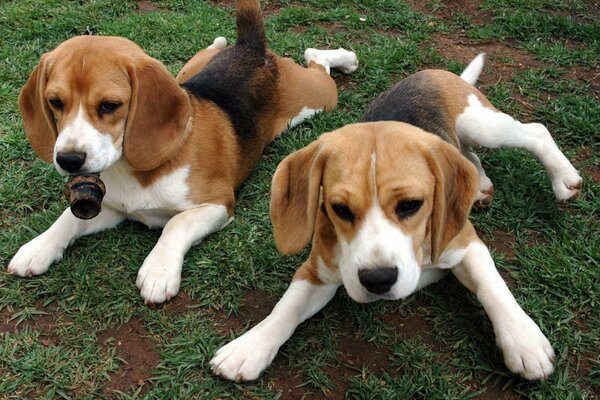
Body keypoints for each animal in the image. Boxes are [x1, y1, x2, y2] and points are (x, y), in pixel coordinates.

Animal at [8, 0, 356, 304]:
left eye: (109, 106)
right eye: (55, 102)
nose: (68, 160)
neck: (131, 170)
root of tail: (251, 48)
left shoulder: (217, 204)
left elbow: (176, 224)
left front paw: (158, 271)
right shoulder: (113, 209)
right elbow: (68, 219)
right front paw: (38, 247)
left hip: (317, 99)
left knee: (318, 62)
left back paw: (344, 57)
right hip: (187, 73)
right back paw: (219, 41)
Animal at [211, 54, 580, 382]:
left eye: (411, 205)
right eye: (339, 209)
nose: (378, 280)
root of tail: (433, 72)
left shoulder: (466, 242)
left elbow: (491, 286)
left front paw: (524, 341)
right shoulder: (316, 271)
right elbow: (286, 308)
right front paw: (249, 348)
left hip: (482, 125)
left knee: (534, 131)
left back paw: (564, 179)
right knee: (468, 156)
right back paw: (480, 185)